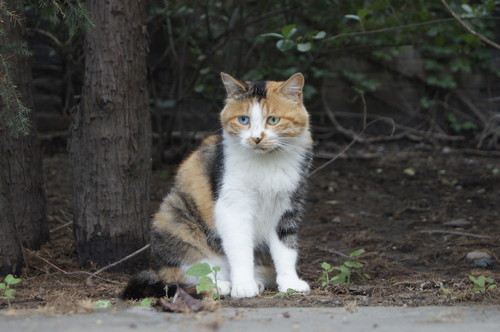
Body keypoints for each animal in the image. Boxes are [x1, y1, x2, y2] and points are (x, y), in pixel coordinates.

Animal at [122, 72, 312, 298]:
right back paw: (221, 285)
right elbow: (240, 247)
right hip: (172, 218)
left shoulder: (288, 205)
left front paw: (290, 283)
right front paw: (243, 286)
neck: (267, 163)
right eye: (243, 119)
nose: (256, 138)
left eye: (273, 120)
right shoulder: (232, 205)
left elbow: (286, 247)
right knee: (181, 275)